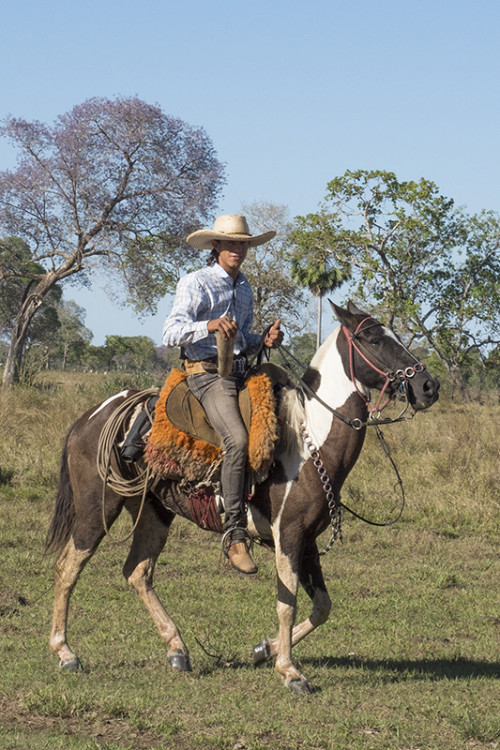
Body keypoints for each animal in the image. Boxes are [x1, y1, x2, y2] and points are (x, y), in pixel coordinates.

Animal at [46, 302, 438, 696]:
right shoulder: (288, 535)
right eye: (374, 339)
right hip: (96, 509)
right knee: (68, 568)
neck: (308, 439)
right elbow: (287, 603)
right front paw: (290, 671)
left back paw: (177, 649)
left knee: (137, 572)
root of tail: (92, 416)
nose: (428, 386)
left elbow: (321, 606)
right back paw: (65, 653)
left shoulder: (307, 538)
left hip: (154, 513)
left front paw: (265, 649)